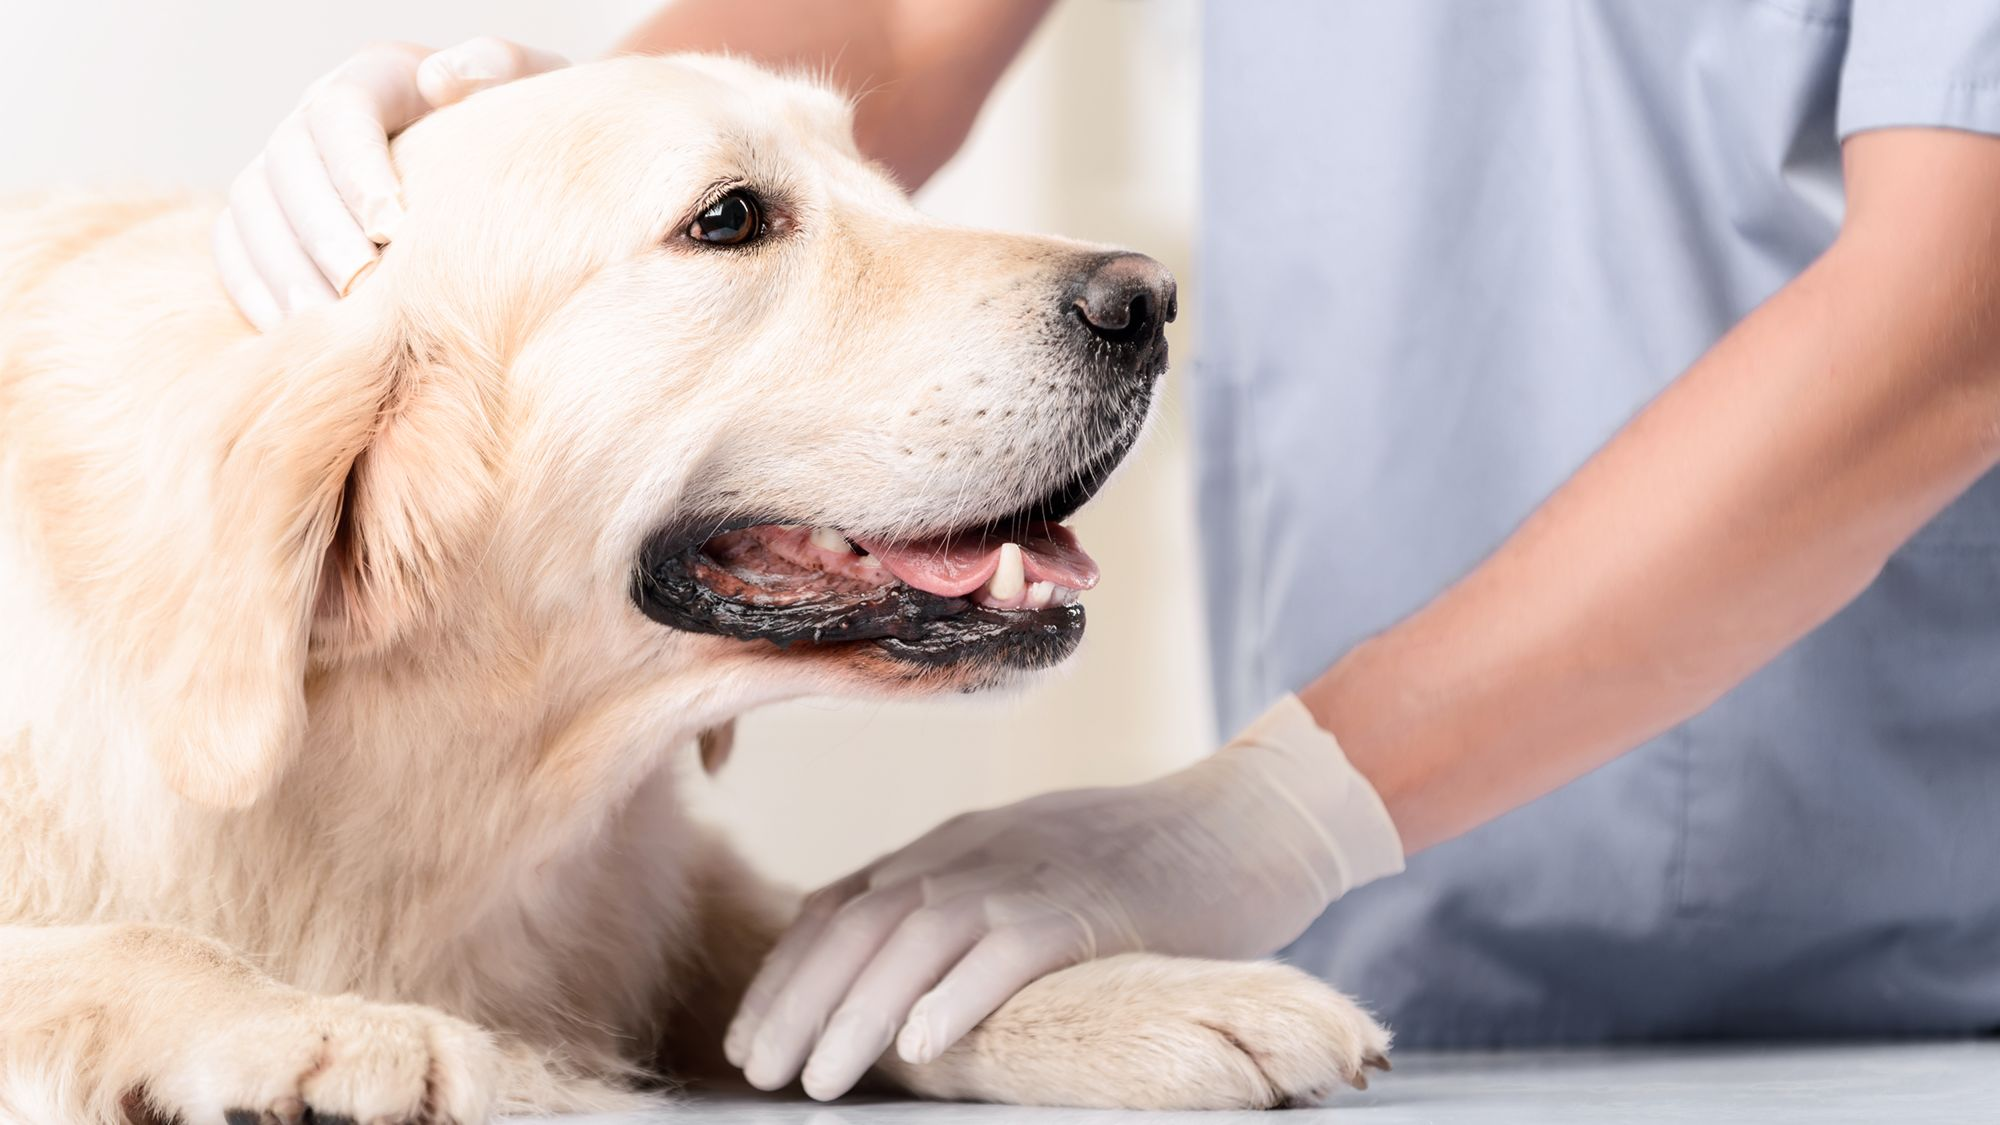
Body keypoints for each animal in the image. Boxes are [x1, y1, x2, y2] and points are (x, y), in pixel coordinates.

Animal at [0, 54, 1392, 1120]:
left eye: (873, 174)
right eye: (726, 218)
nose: (1145, 300)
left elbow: (817, 937)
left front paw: (1129, 993)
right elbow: (119, 943)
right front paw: (334, 1035)